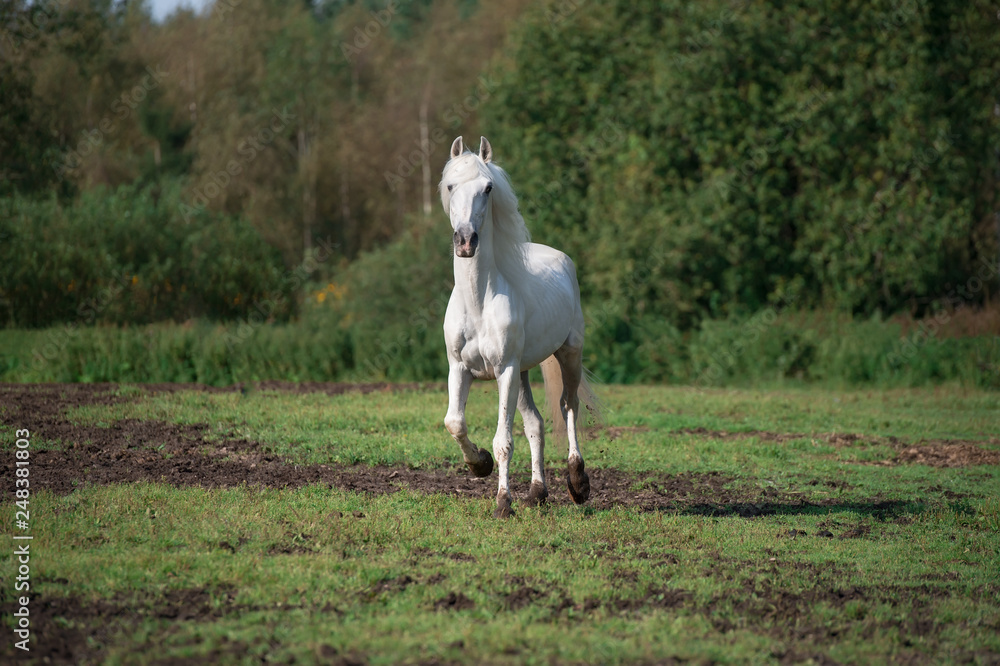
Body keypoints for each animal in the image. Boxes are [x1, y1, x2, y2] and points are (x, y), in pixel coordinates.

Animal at [440, 135, 598, 518]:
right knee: (535, 423)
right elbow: (455, 422)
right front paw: (479, 464)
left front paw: (502, 502)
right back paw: (537, 492)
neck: (479, 302)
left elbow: (503, 440)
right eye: (450, 186)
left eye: (488, 188)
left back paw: (577, 482)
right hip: (525, 371)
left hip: (567, 354)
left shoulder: (505, 370)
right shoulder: (459, 368)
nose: (465, 241)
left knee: (568, 406)